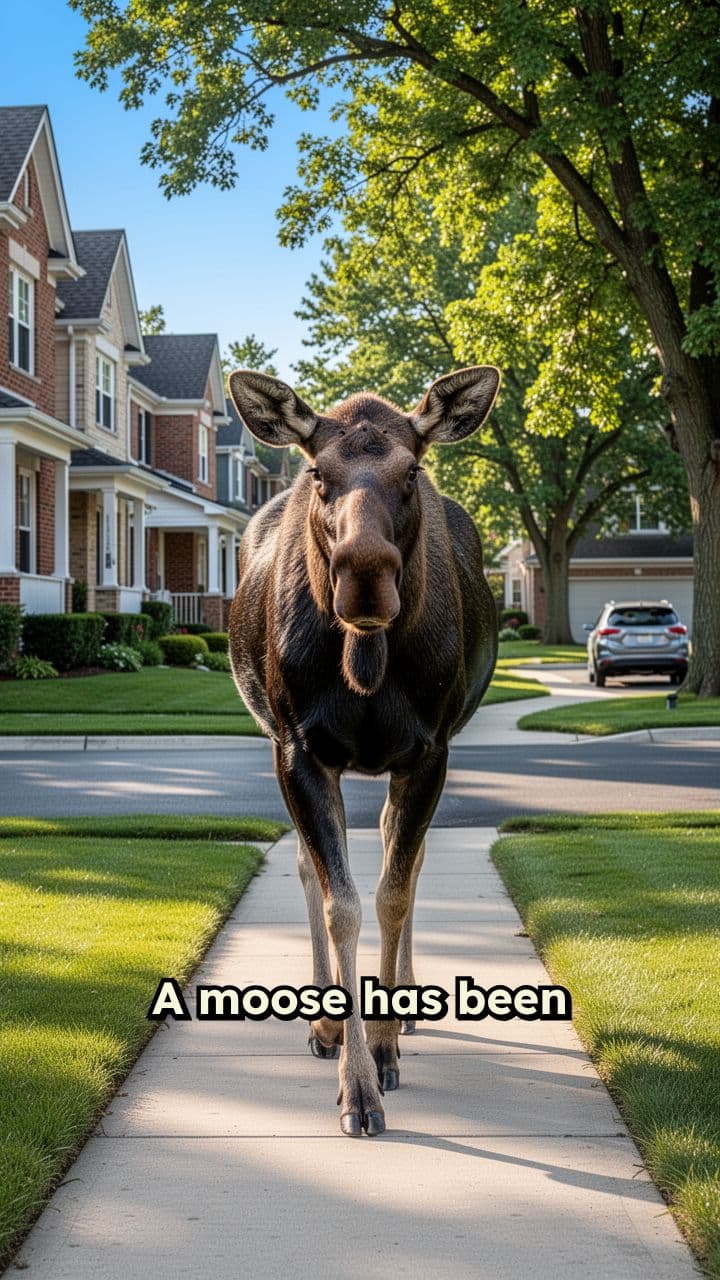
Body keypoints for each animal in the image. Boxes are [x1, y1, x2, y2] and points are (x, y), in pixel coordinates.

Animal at [228, 365, 500, 1137]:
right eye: (318, 471)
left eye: (412, 471)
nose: (365, 574)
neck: (366, 666)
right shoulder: (298, 749)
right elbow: (338, 901)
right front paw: (356, 1081)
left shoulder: (430, 750)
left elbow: (394, 892)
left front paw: (381, 1046)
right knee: (308, 867)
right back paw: (323, 1023)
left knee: (395, 853)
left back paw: (402, 1001)